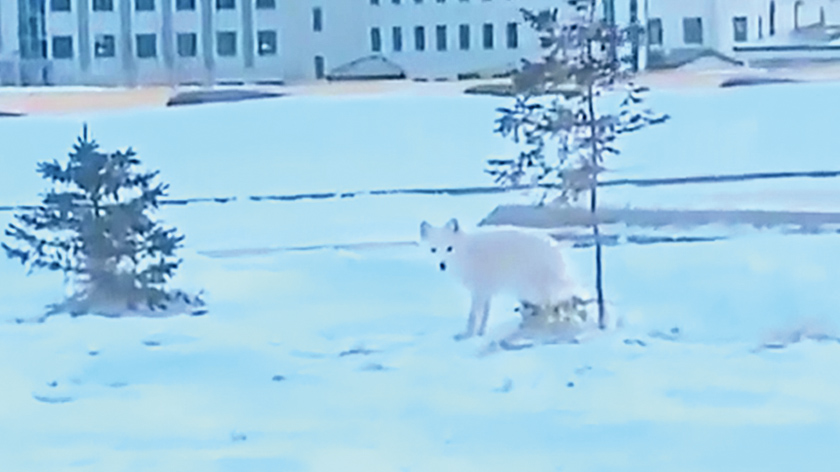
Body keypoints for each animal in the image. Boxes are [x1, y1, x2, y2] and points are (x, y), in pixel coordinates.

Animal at [418, 218, 580, 340]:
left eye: (449, 248)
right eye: (433, 250)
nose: (442, 265)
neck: (466, 254)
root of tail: (560, 257)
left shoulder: (479, 292)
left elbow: (473, 316)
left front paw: (467, 335)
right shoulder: (486, 292)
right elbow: (485, 315)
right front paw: (480, 333)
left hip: (534, 290)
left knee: (553, 306)